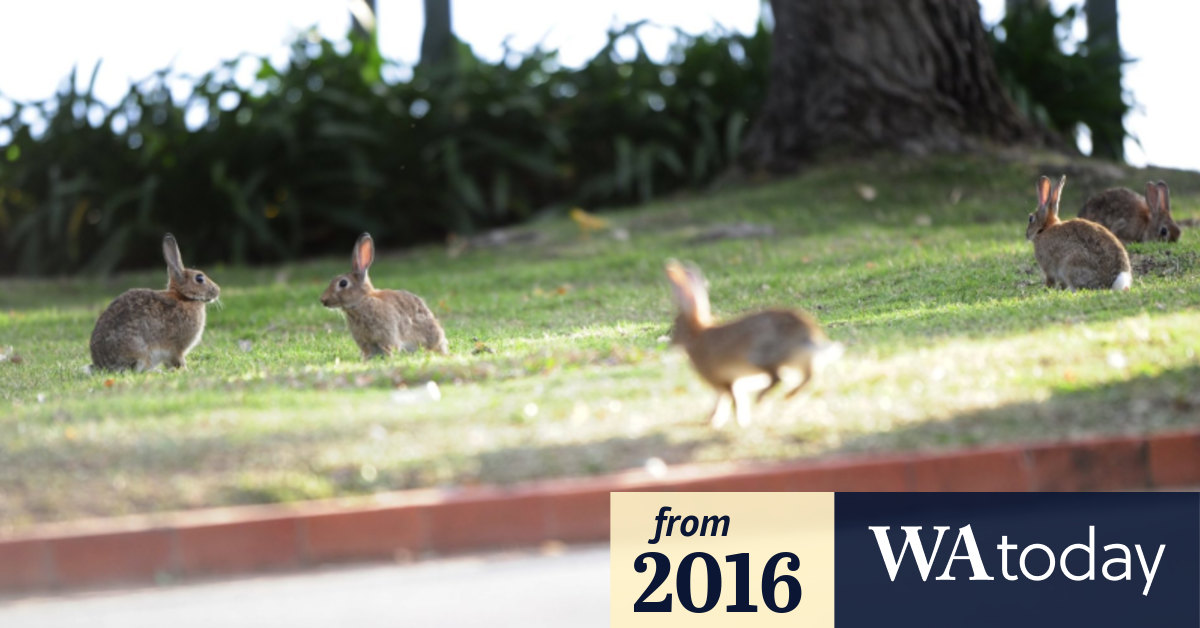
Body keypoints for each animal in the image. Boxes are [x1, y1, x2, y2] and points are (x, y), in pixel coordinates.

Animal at [89, 234, 220, 372]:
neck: (184, 297)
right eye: (199, 278)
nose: (218, 290)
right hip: (140, 352)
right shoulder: (176, 347)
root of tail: (102, 364)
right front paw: (185, 370)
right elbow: (178, 360)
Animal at [320, 233, 449, 358]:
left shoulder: (388, 335)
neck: (362, 301)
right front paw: (366, 360)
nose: (323, 300)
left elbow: (389, 347)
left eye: (343, 283)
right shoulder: (366, 342)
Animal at [665, 260, 843, 428]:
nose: (671, 344)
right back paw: (786, 396)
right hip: (796, 362)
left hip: (761, 357)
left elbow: (729, 400)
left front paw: (735, 422)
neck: (697, 335)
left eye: (675, 327)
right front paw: (713, 421)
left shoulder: (723, 381)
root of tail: (808, 335)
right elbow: (727, 400)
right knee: (809, 376)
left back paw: (763, 399)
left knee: (778, 378)